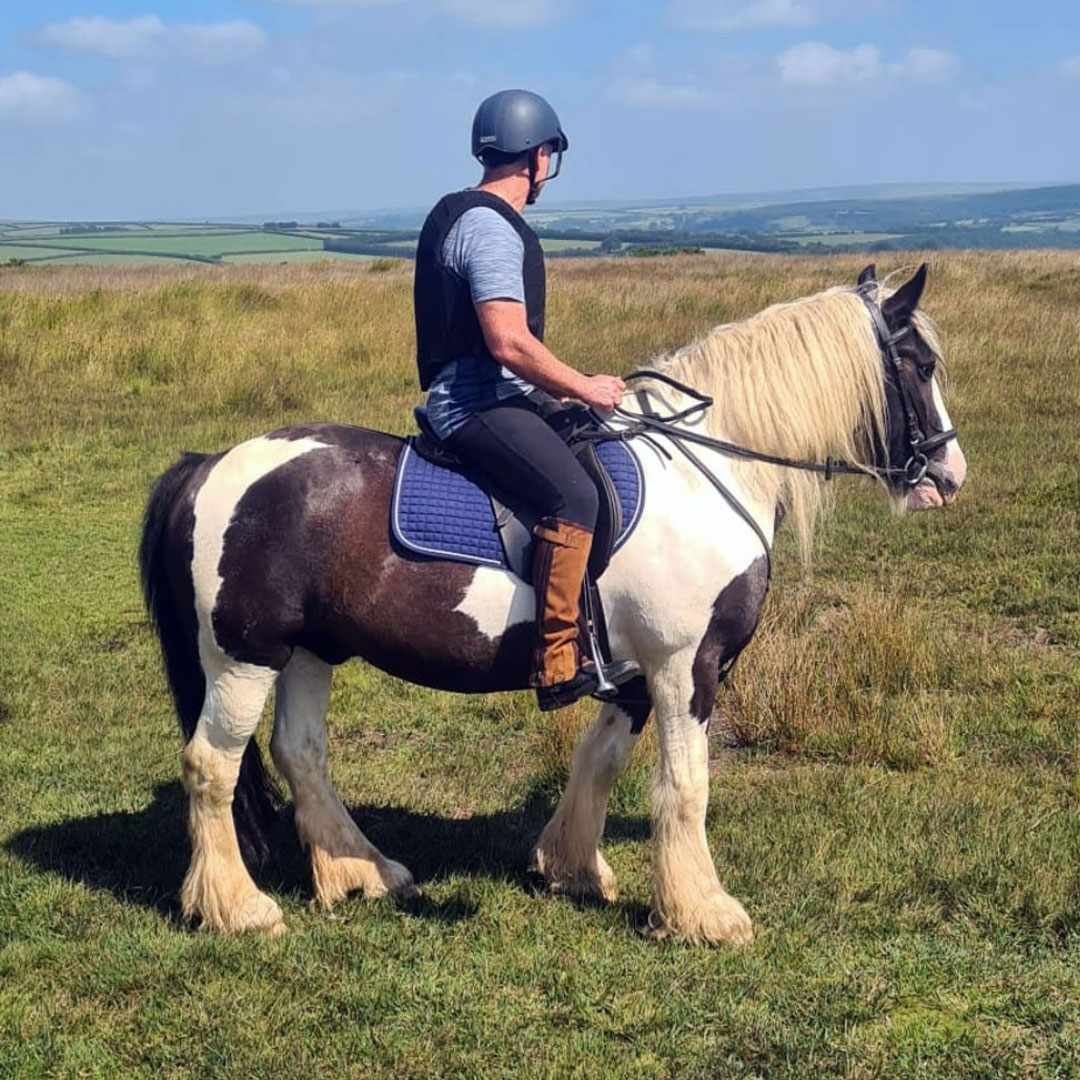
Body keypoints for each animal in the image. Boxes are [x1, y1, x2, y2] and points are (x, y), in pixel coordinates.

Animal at [139, 262, 967, 944]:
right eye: (920, 365)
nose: (949, 474)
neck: (706, 472)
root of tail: (207, 465)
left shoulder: (635, 674)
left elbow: (598, 761)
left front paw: (571, 868)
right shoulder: (685, 666)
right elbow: (684, 786)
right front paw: (703, 914)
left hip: (309, 651)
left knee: (300, 753)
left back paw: (361, 872)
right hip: (244, 655)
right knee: (211, 765)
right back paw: (238, 908)